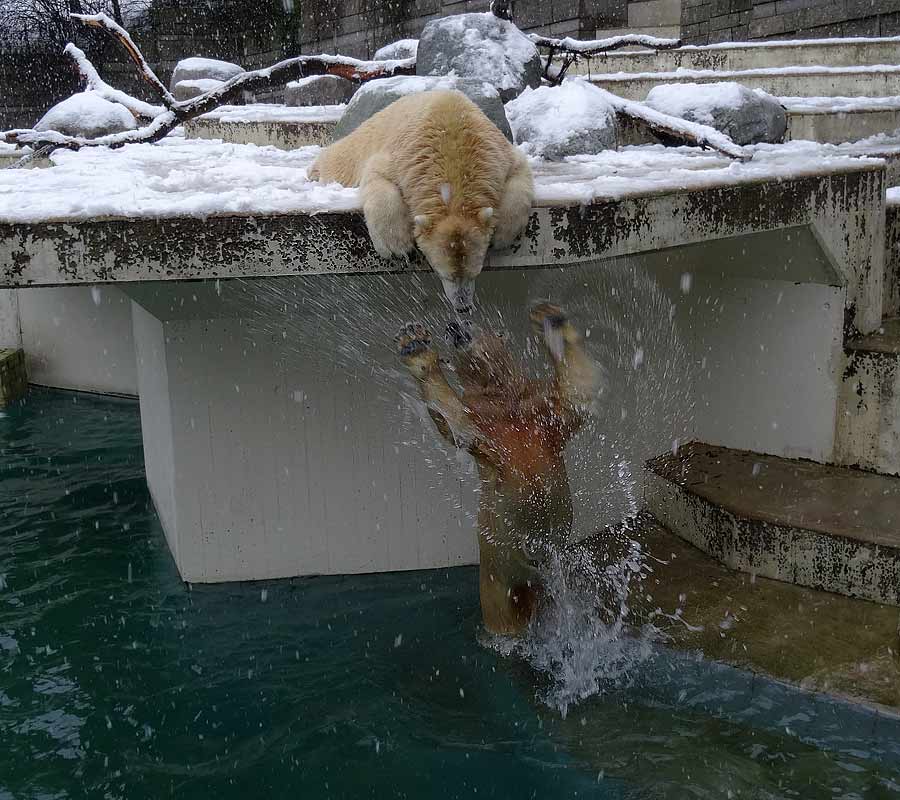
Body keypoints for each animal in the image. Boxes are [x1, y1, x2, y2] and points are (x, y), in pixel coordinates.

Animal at [310, 89, 536, 310]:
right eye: (445, 274)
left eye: (475, 272)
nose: (462, 306)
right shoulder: (402, 158)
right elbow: (377, 174)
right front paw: (396, 245)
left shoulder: (497, 153)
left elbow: (519, 170)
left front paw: (502, 234)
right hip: (357, 144)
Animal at [396, 304, 600, 636]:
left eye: (472, 319)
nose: (454, 325)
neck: (503, 401)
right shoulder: (479, 419)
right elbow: (453, 420)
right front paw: (414, 344)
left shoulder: (537, 406)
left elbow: (574, 396)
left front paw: (549, 319)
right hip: (497, 579)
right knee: (507, 609)